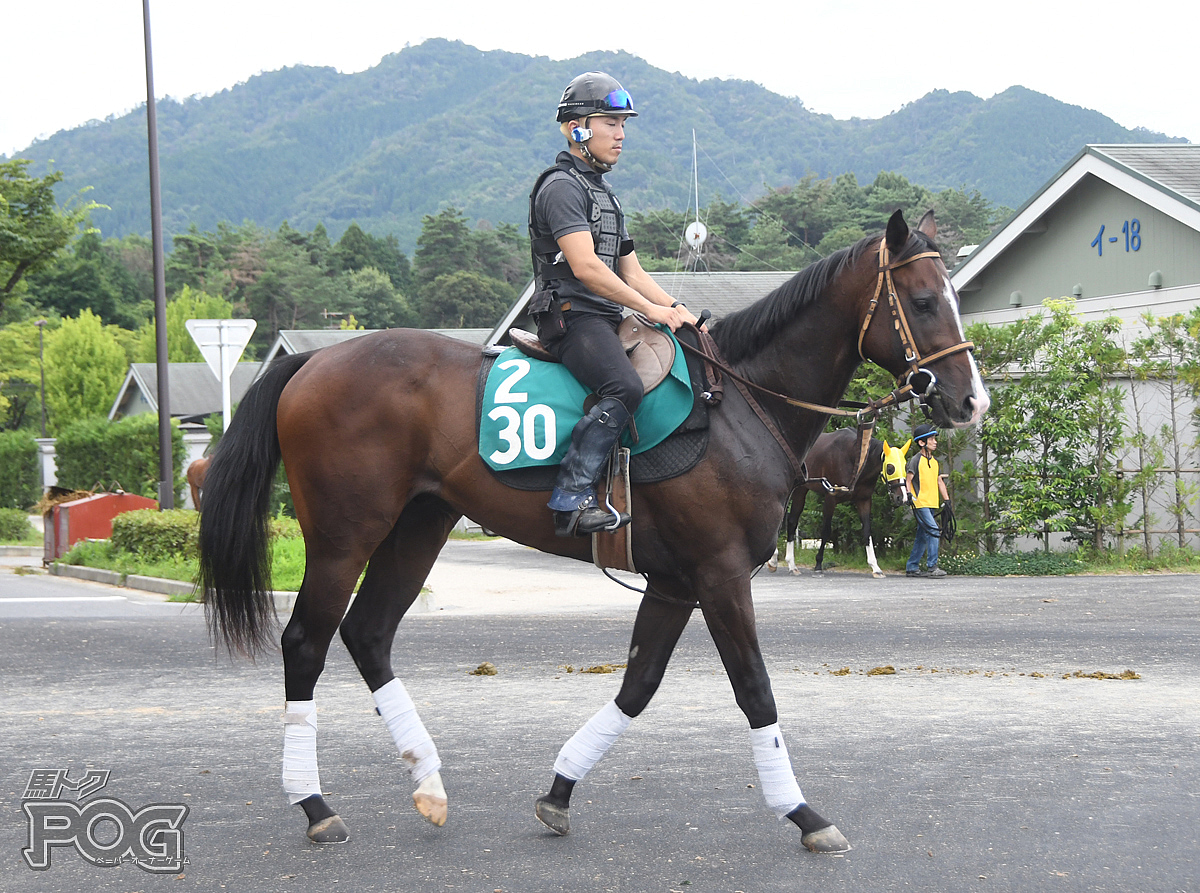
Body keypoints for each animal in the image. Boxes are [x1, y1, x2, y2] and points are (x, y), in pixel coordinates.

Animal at [768, 429, 907, 576]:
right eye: (890, 468)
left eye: (905, 466)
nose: (902, 497)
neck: (854, 461)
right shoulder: (830, 498)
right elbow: (826, 530)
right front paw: (818, 564)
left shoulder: (863, 500)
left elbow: (867, 531)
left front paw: (875, 567)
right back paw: (783, 562)